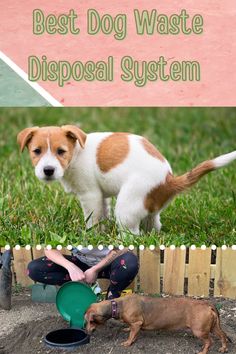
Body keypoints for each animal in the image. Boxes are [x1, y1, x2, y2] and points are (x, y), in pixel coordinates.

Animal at [17, 126, 236, 234]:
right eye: (36, 151)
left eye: (61, 151)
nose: (48, 170)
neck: (77, 152)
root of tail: (168, 180)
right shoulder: (101, 197)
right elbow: (102, 215)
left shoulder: (90, 195)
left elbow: (93, 219)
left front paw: (92, 236)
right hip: (149, 210)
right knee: (153, 226)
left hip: (126, 207)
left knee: (133, 235)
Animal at [84, 294, 229, 354]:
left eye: (90, 321)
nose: (87, 332)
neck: (118, 305)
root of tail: (207, 304)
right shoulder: (136, 326)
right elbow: (133, 333)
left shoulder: (136, 323)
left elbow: (131, 335)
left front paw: (128, 342)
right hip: (213, 327)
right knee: (223, 336)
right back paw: (223, 348)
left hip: (199, 331)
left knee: (209, 342)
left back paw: (203, 351)